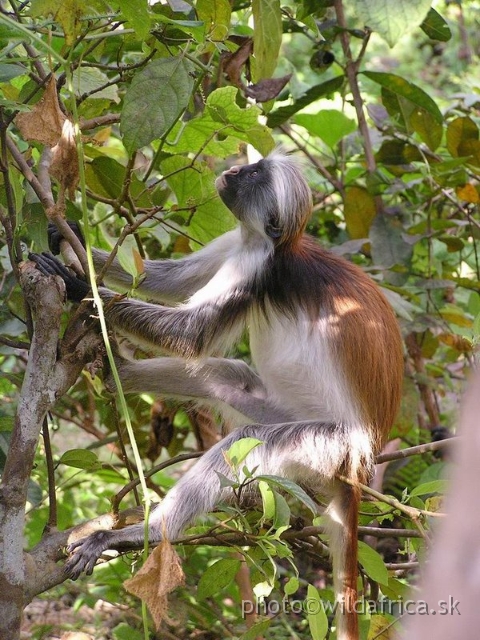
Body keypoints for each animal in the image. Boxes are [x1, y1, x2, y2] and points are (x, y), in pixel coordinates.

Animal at [30, 152, 404, 636]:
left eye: (255, 174)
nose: (232, 172)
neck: (267, 244)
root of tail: (362, 460)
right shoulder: (236, 243)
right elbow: (163, 280)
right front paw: (68, 233)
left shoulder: (257, 269)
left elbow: (189, 334)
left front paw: (81, 288)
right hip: (278, 414)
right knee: (231, 378)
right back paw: (117, 374)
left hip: (324, 441)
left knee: (241, 442)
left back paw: (142, 532)